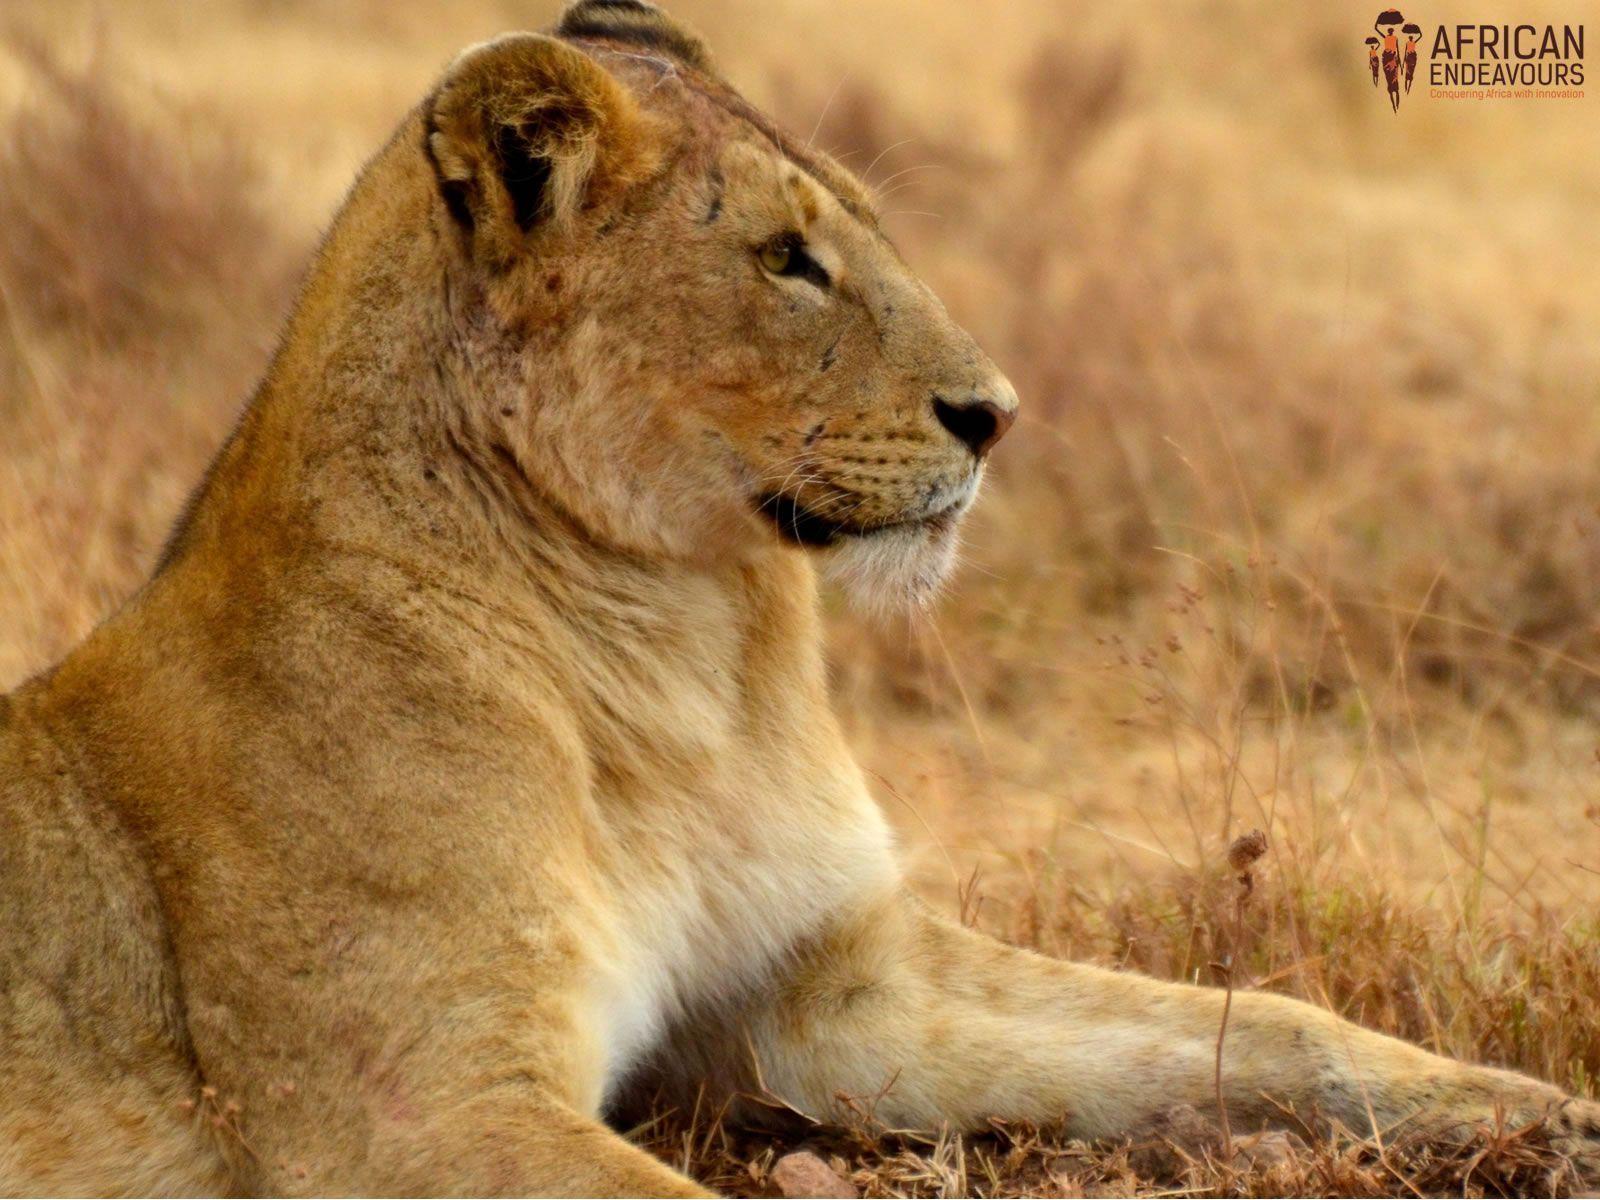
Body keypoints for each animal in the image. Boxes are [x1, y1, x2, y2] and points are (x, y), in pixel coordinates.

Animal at [1, 1, 1596, 1194]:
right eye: (786, 261)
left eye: (868, 233)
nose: (999, 415)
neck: (684, 653)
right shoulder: (410, 1112)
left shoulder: (827, 988)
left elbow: (1253, 1022)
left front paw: (1531, 1111)